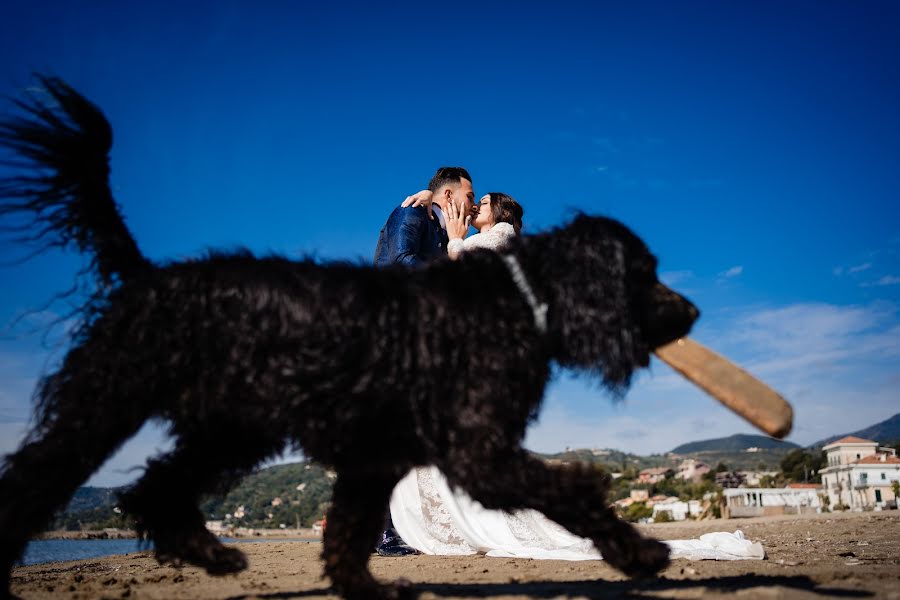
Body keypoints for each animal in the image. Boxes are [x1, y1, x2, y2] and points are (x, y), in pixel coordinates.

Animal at [0, 79, 700, 600]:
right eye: (643, 271)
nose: (692, 312)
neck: (514, 292)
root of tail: (151, 274)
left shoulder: (391, 447)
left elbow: (346, 530)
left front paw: (363, 585)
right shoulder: (473, 449)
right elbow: (569, 491)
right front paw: (637, 551)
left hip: (229, 424)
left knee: (153, 486)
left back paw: (217, 555)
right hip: (112, 399)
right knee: (43, 477)